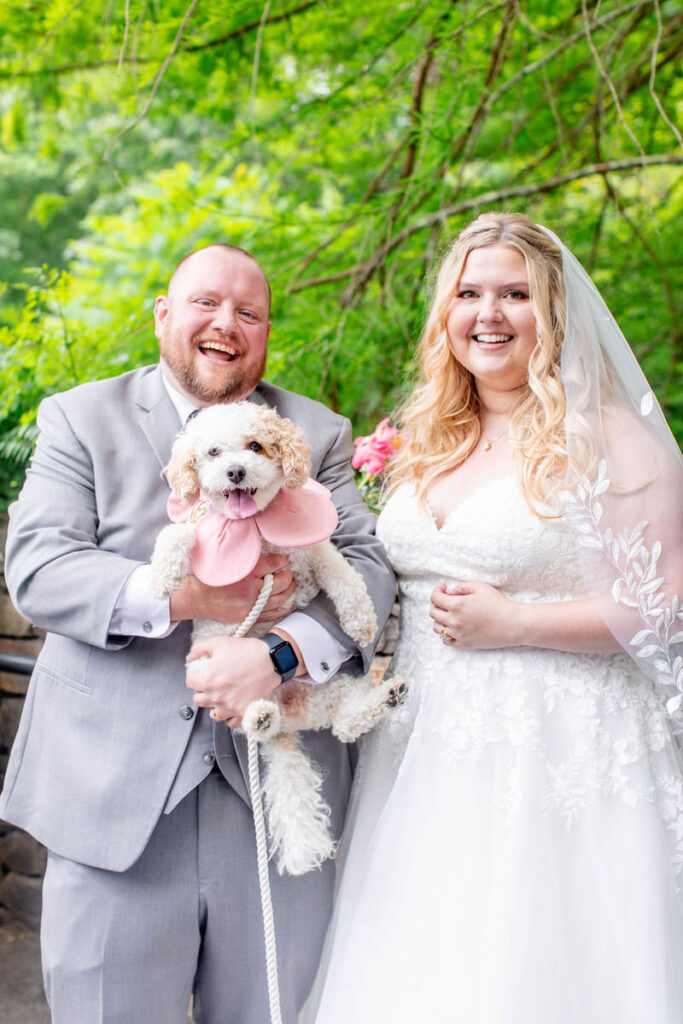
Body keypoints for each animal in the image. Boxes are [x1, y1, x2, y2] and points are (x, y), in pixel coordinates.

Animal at [149, 403, 405, 876]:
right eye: (212, 452)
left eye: (256, 446)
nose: (235, 471)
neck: (254, 530)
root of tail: (286, 715)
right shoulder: (198, 529)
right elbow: (174, 534)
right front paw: (161, 578)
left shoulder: (314, 552)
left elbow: (343, 573)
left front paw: (361, 621)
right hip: (211, 678)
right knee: (254, 721)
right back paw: (260, 717)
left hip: (328, 688)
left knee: (345, 724)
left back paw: (385, 697)